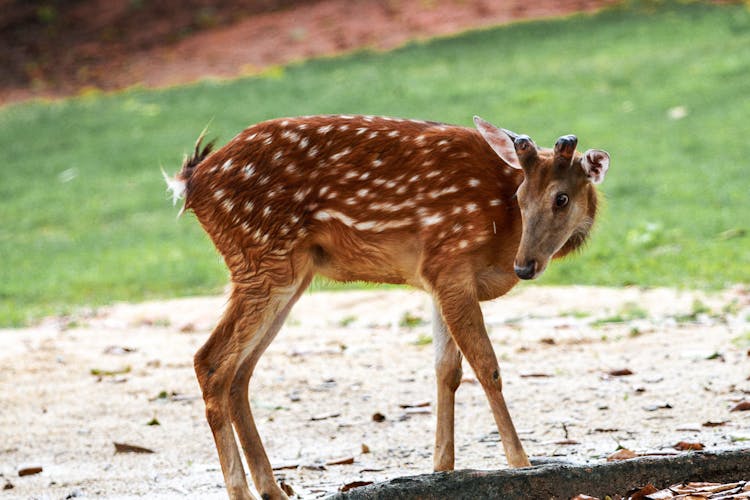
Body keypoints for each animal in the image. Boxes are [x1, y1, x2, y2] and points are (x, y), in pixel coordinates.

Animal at [164, 114, 612, 500]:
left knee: (240, 372)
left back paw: (273, 488)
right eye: (520, 197)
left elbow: (446, 370)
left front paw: (442, 467)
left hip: (290, 272)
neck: (500, 240)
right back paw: (242, 490)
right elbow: (487, 366)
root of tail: (191, 181)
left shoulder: (438, 277)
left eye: (561, 198)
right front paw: (521, 462)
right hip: (262, 259)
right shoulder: (451, 258)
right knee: (210, 361)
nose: (525, 266)